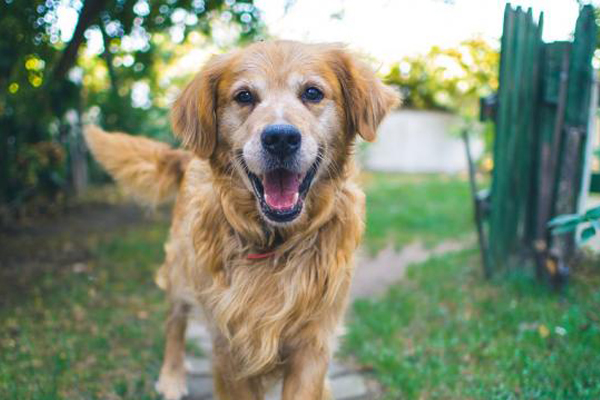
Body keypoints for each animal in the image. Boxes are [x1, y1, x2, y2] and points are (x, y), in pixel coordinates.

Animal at [83, 40, 394, 400]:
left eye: (312, 92)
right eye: (244, 96)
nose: (280, 138)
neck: (277, 243)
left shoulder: (313, 344)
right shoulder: (229, 346)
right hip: (180, 269)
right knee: (175, 321)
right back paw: (172, 375)